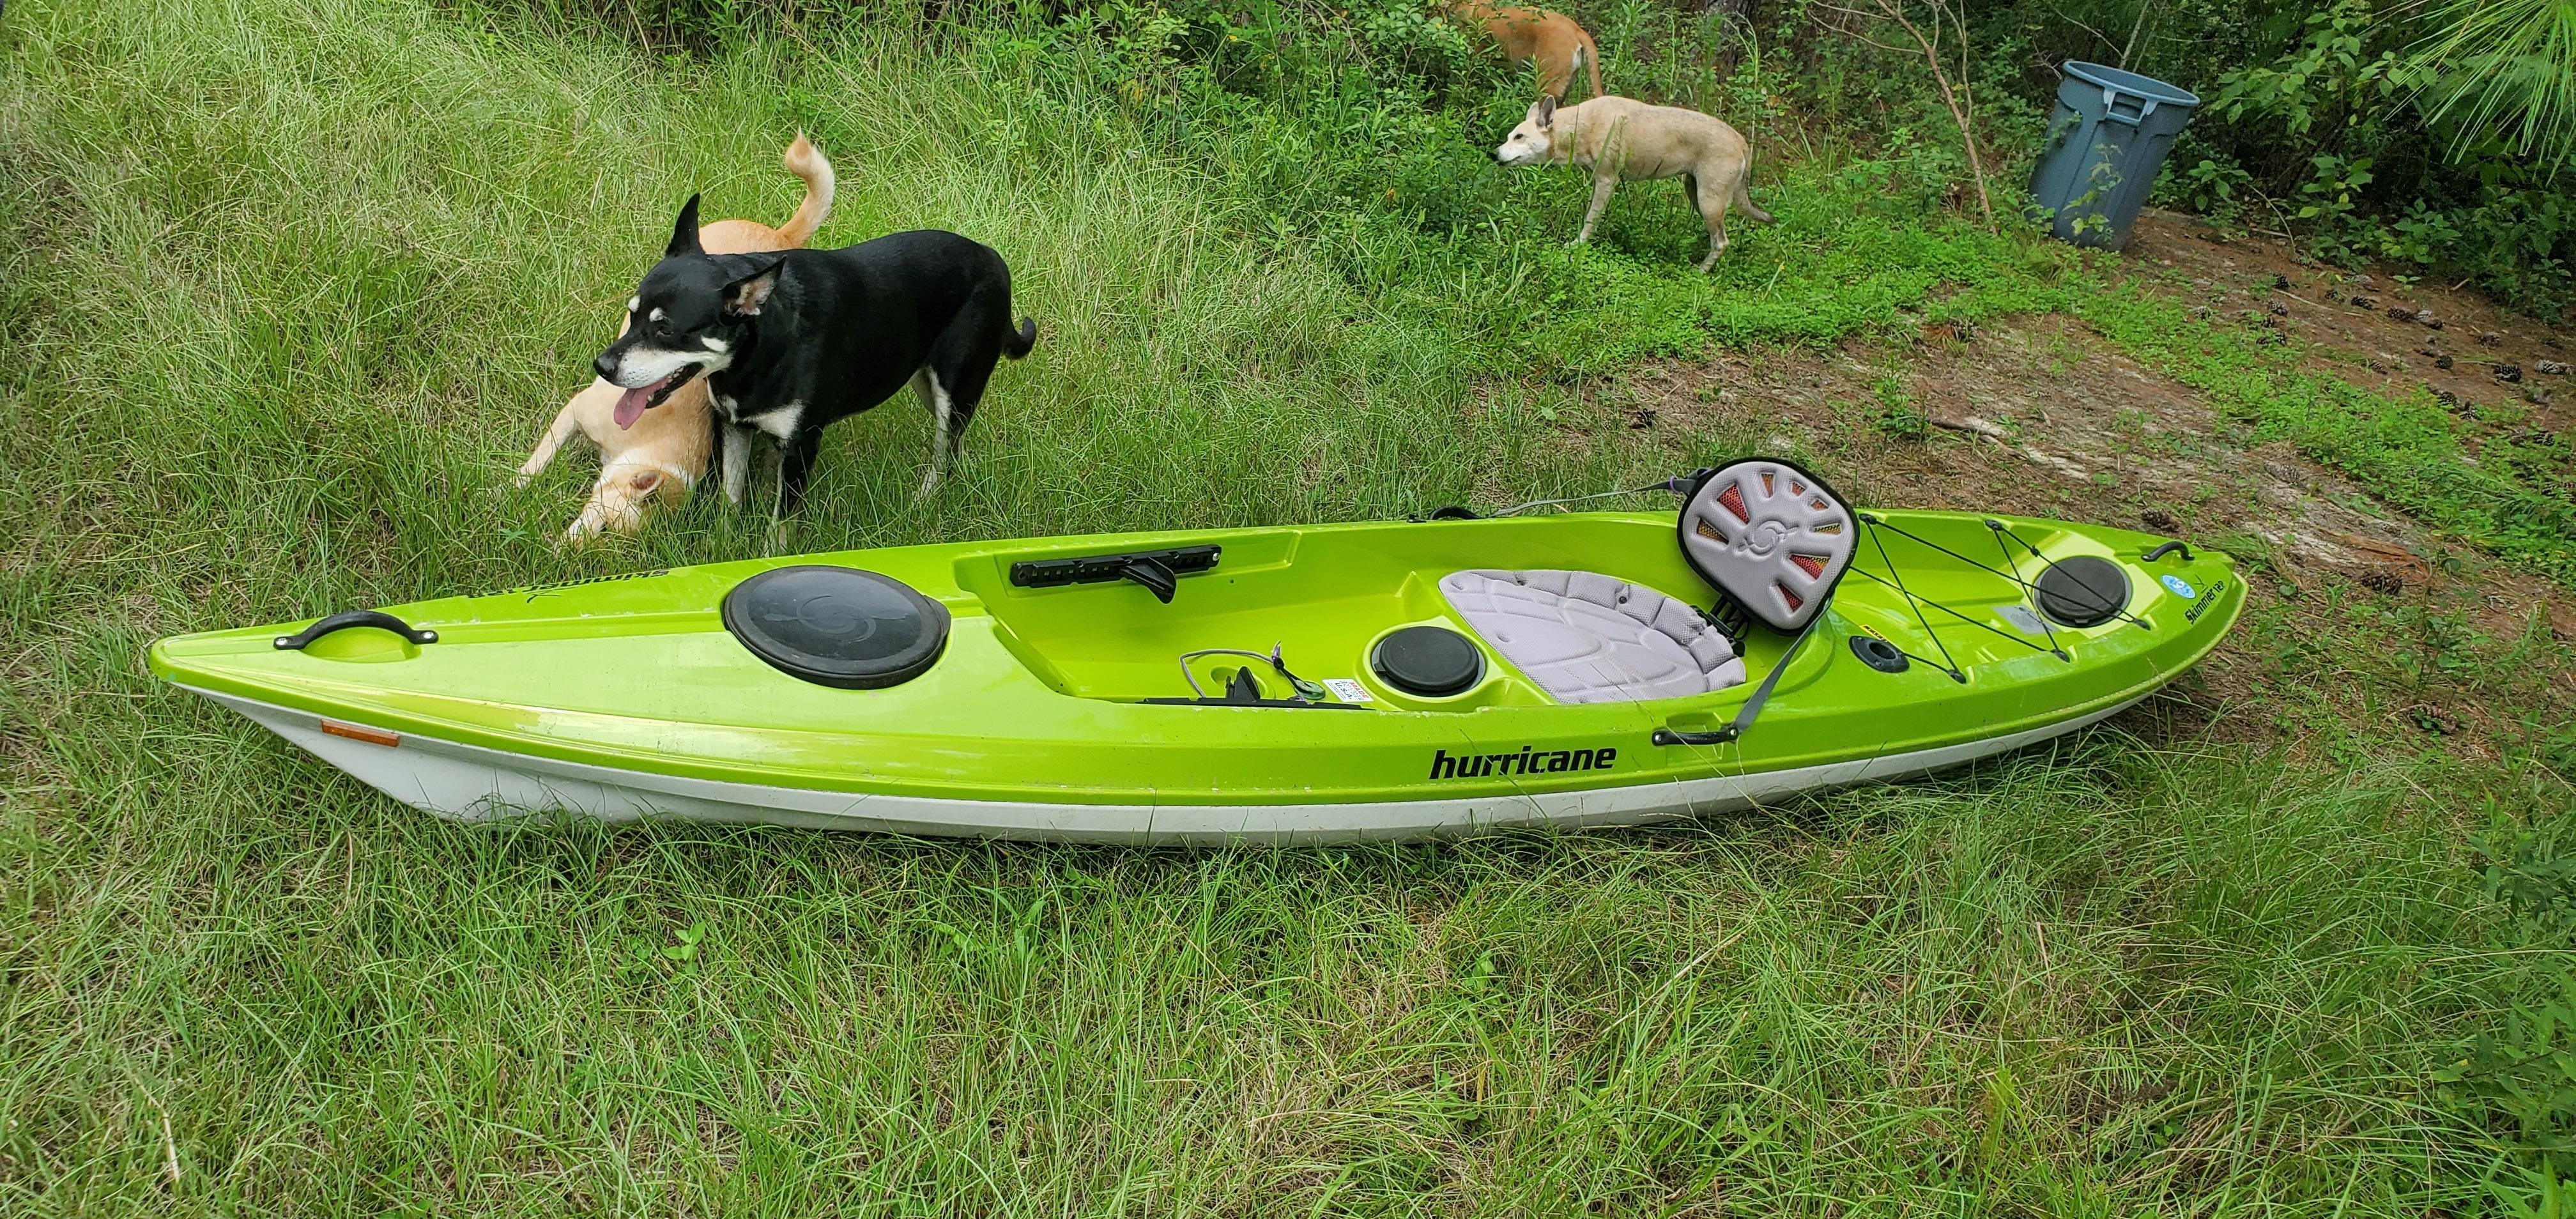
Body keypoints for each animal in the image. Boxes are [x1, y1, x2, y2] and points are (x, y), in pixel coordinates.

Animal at [518, 129, 839, 541]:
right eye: (603, 525)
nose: (571, 554)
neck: (651, 447)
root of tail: (780, 236)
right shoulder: (574, 412)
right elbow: (538, 462)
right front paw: (509, 488)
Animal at [592, 197, 1035, 510]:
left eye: (666, 329)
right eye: (632, 315)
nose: (602, 366)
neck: (760, 351)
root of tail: (993, 259)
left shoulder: (802, 447)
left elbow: (780, 524)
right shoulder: (735, 427)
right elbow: (730, 502)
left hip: (954, 389)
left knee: (946, 452)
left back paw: (926, 498)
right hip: (925, 381)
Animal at [1494, 95, 1772, 270]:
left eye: (1519, 137)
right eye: (1509, 136)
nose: (1493, 154)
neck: (1582, 126)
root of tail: (1742, 143)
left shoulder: (1607, 181)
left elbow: (1590, 222)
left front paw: (1577, 246)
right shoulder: (1598, 182)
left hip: (1708, 202)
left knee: (1722, 242)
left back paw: (1699, 273)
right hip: (1697, 195)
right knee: (1718, 239)